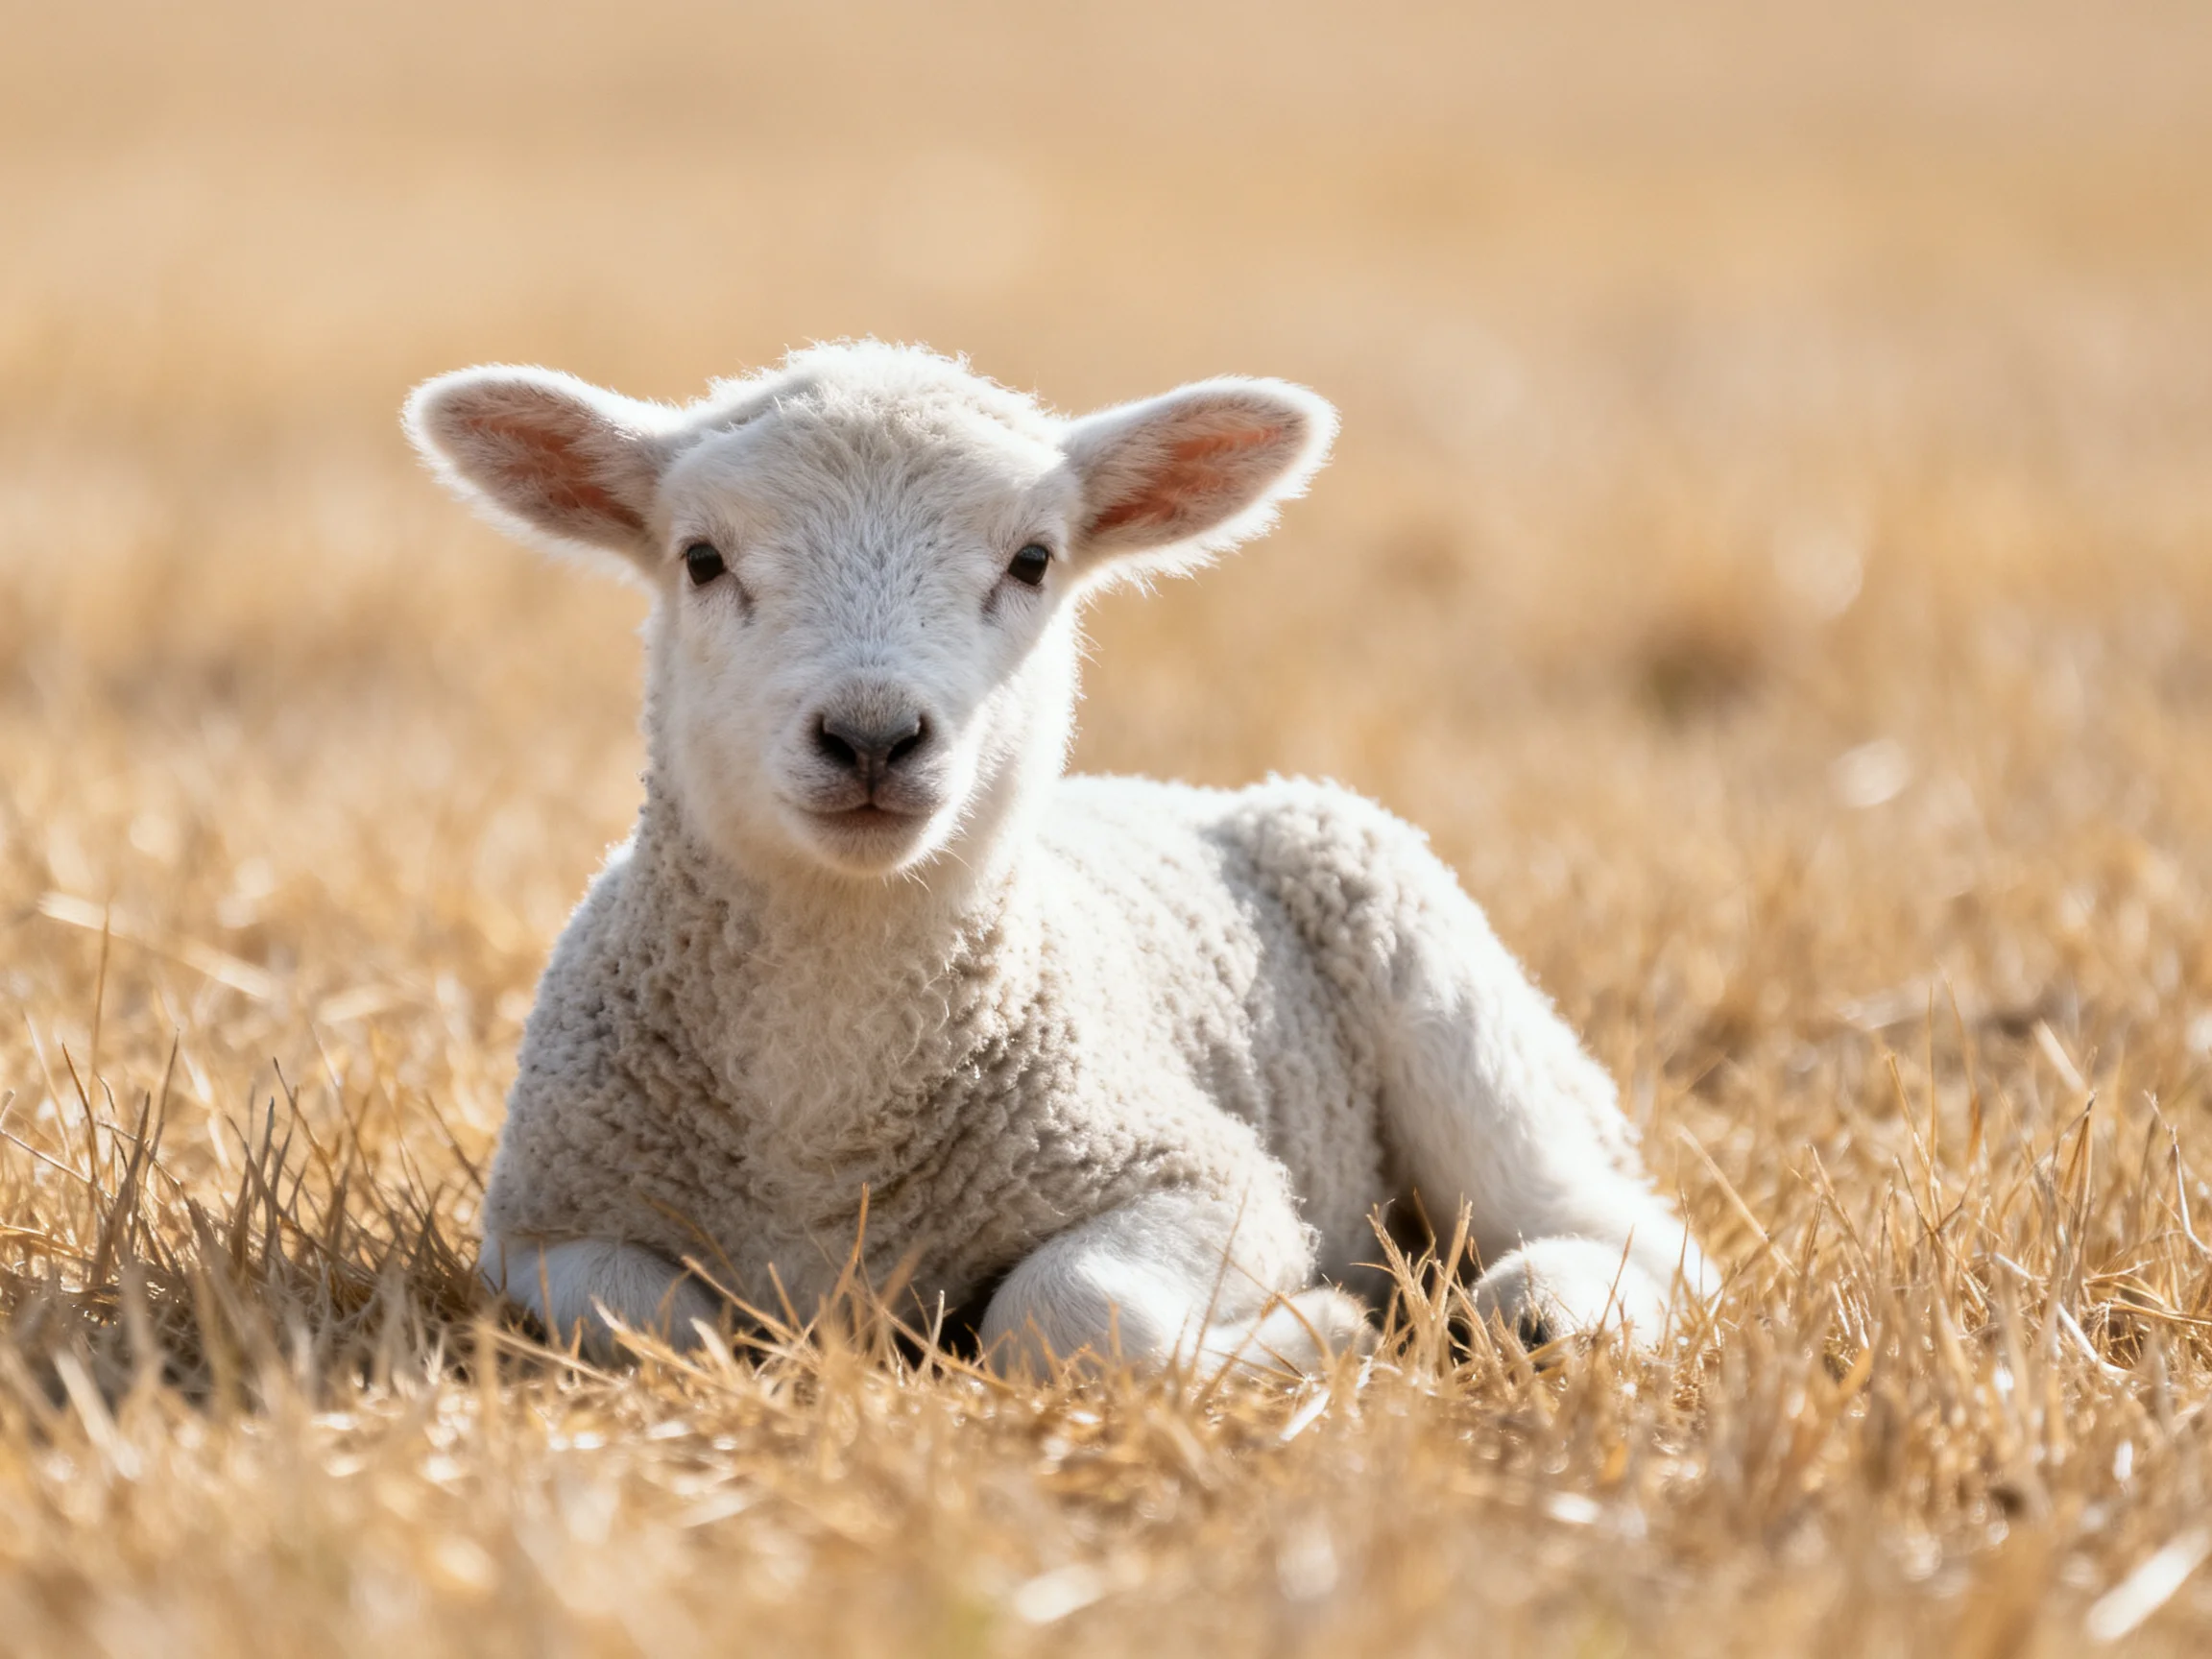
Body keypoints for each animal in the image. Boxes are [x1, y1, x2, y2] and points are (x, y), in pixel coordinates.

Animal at [403, 341, 1711, 1374]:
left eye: (1032, 560)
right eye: (702, 559)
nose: (871, 735)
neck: (823, 1124)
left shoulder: (1210, 1177)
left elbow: (1065, 1313)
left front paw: (1319, 1331)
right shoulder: (542, 1225)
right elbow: (663, 1328)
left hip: (1445, 992)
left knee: (1624, 1227)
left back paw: (1552, 1311)